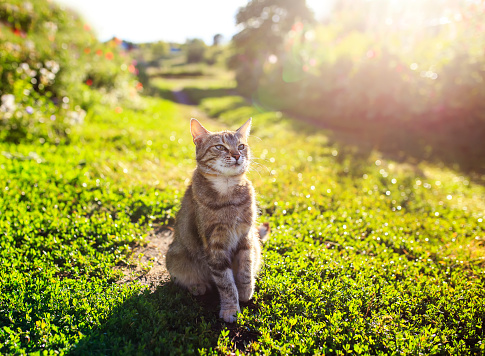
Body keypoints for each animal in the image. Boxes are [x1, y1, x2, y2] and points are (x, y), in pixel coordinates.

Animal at [164, 119, 266, 322]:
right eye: (220, 147)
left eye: (241, 146)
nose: (236, 155)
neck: (229, 195)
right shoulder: (214, 245)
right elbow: (226, 283)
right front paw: (230, 309)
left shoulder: (246, 236)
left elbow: (245, 269)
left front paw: (246, 292)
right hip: (176, 255)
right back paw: (198, 286)